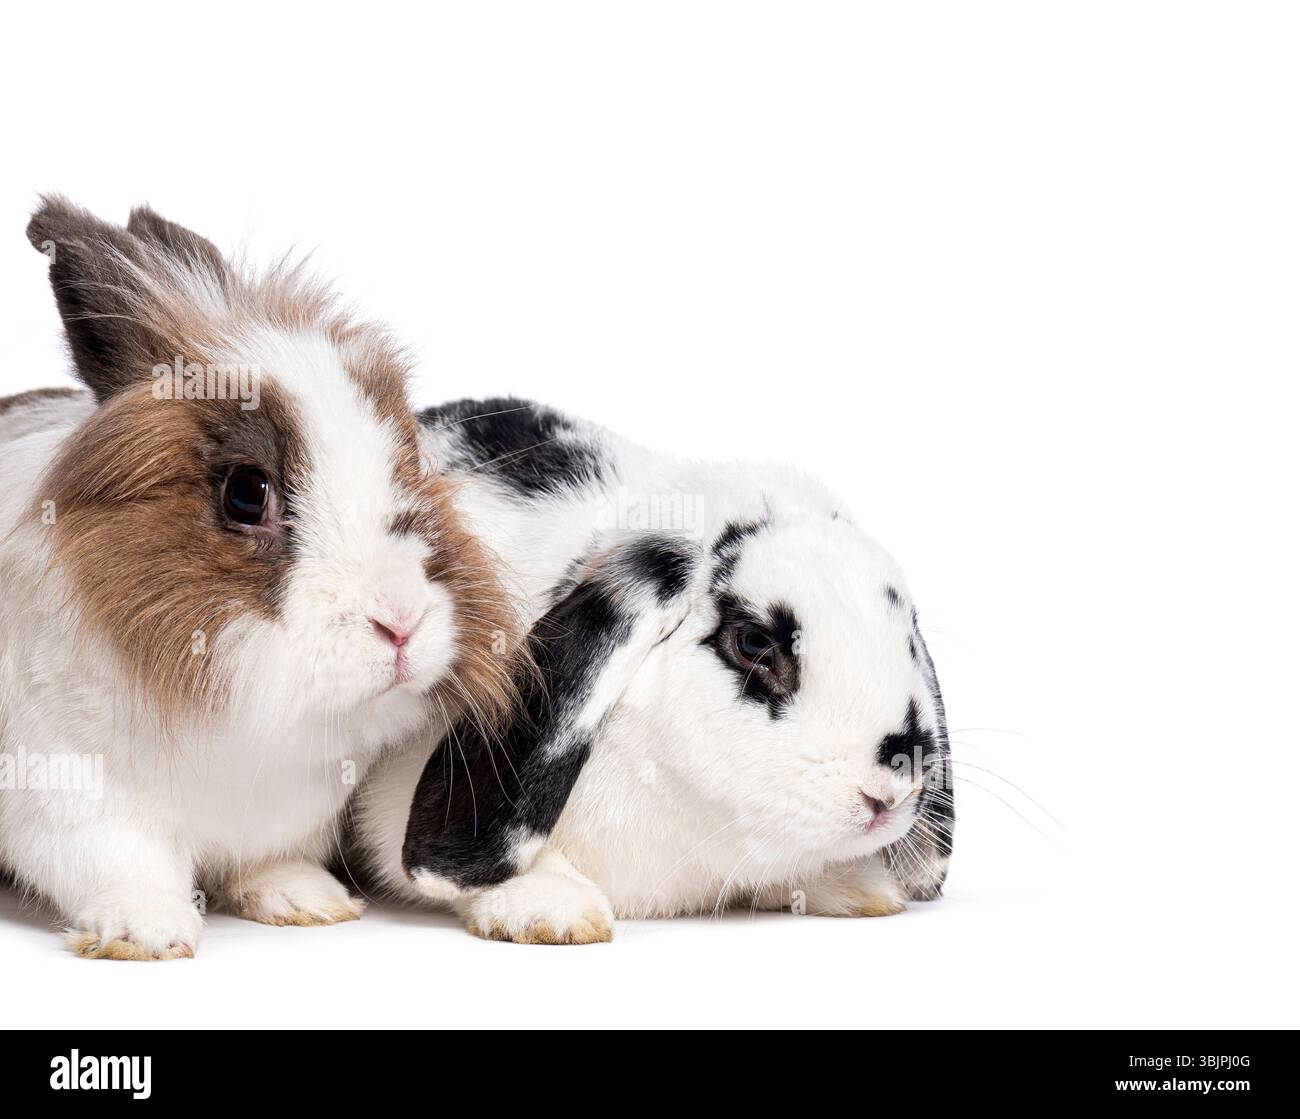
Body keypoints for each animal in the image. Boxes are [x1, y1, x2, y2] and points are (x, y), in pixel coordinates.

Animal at [0, 199, 516, 959]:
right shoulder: (65, 794)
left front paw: (305, 898)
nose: (401, 620)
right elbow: (120, 862)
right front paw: (147, 932)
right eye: (246, 493)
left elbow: (270, 858)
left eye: (409, 464)